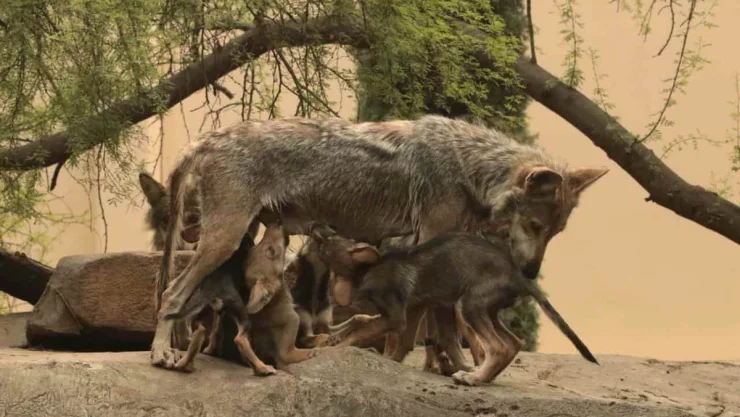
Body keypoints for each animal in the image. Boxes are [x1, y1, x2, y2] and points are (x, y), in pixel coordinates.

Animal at [151, 115, 608, 369]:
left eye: (555, 232)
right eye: (533, 225)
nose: (531, 271)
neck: (468, 168)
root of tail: (204, 140)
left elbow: (418, 327)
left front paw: (438, 364)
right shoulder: (435, 243)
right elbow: (438, 327)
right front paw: (455, 367)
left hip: (233, 243)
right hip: (222, 242)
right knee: (171, 293)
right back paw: (161, 354)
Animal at [310, 223, 598, 386]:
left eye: (329, 240)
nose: (315, 225)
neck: (368, 270)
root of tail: (518, 275)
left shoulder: (396, 315)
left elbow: (362, 330)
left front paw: (332, 347)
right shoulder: (416, 308)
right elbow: (396, 341)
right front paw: (387, 359)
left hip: (469, 305)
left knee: (499, 347)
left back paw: (473, 378)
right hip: (488, 310)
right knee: (514, 342)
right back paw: (484, 377)